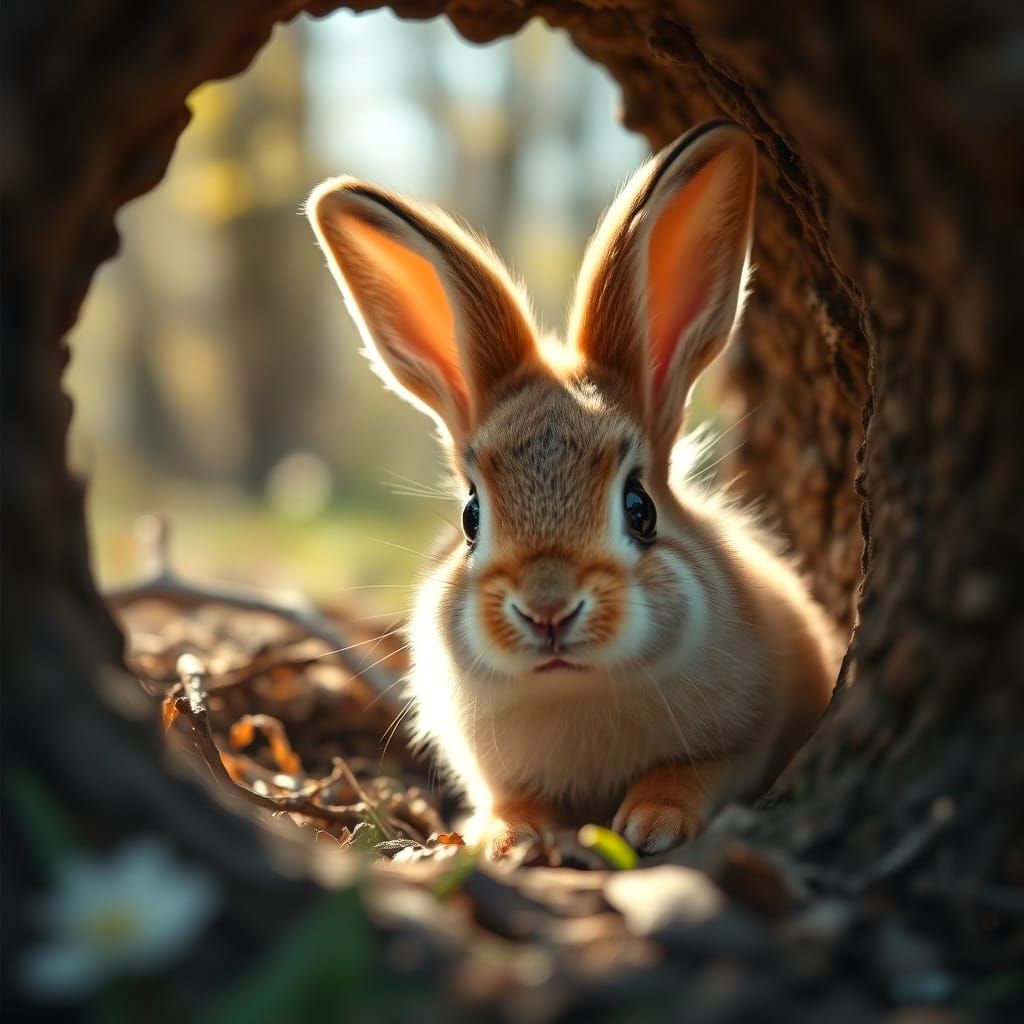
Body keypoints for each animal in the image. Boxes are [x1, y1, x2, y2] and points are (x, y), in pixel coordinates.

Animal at [307, 120, 840, 859]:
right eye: (471, 516)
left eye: (639, 509)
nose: (548, 610)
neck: (576, 691)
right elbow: (513, 800)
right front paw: (505, 839)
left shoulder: (748, 740)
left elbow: (694, 772)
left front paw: (652, 822)